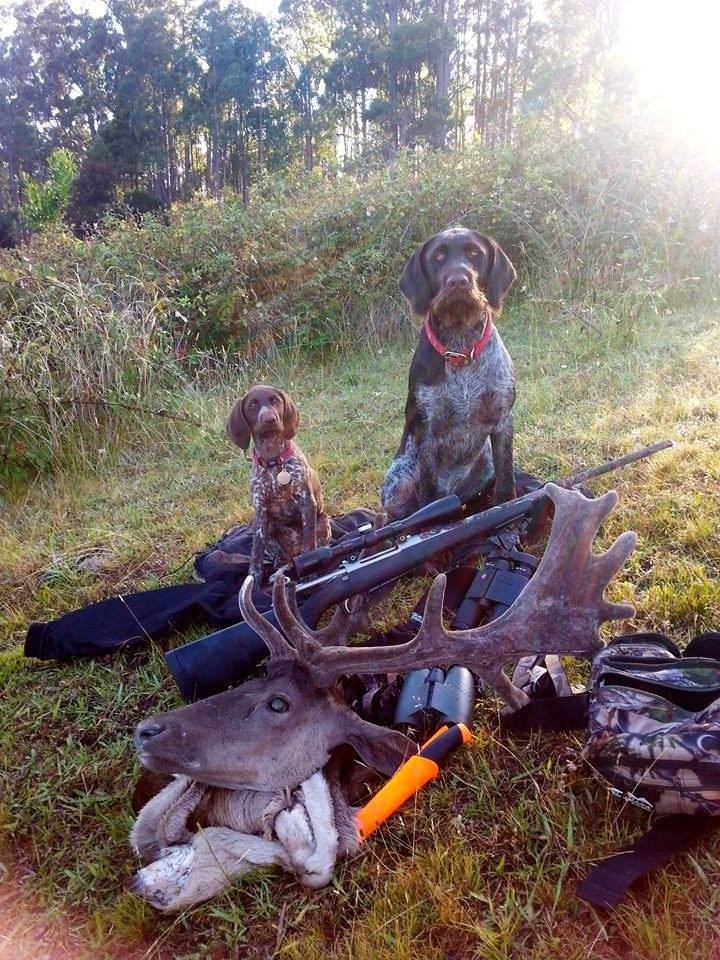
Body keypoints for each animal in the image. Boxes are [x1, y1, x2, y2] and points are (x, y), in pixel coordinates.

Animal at [226, 384, 330, 580]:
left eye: (275, 400)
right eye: (252, 405)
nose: (269, 419)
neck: (273, 460)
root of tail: (293, 553)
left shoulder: (307, 502)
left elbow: (309, 545)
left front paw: (310, 573)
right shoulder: (260, 514)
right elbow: (255, 559)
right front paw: (254, 582)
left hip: (323, 521)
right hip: (267, 531)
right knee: (279, 558)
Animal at [382, 228, 516, 520]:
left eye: (474, 252)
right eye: (439, 256)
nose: (458, 281)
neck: (460, 348)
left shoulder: (503, 420)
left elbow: (506, 480)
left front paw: (506, 504)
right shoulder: (427, 435)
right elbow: (428, 494)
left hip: (484, 466)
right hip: (398, 482)